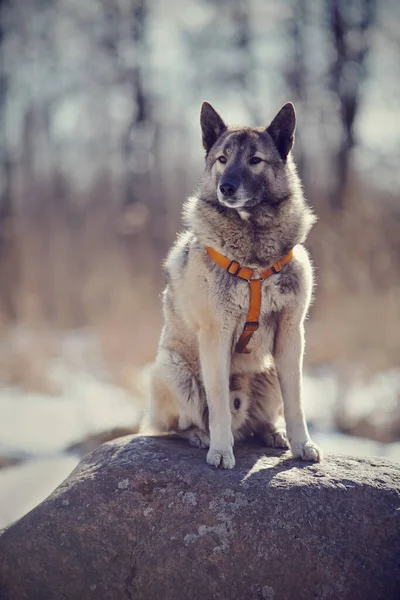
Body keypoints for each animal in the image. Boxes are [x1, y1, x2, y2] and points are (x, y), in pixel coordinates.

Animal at [145, 101, 324, 468]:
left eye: (255, 159)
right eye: (222, 159)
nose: (226, 187)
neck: (254, 252)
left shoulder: (291, 333)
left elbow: (296, 401)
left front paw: (302, 444)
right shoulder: (217, 335)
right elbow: (217, 405)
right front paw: (220, 450)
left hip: (269, 371)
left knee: (259, 420)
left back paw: (272, 433)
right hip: (174, 371)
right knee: (180, 424)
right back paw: (200, 437)